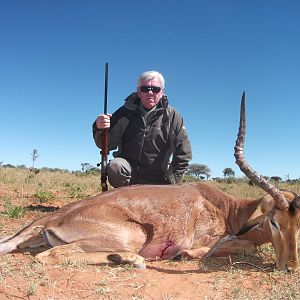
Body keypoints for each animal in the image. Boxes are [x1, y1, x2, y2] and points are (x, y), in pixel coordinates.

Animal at [0, 92, 298, 270]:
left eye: (298, 225)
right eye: (274, 221)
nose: (291, 266)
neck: (229, 209)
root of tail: (52, 219)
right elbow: (235, 247)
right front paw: (184, 255)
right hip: (132, 236)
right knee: (49, 256)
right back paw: (130, 259)